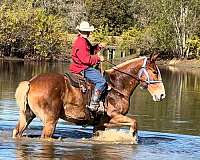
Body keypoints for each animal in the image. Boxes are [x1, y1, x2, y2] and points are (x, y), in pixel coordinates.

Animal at [12, 52, 166, 140]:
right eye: (154, 72)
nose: (162, 94)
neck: (117, 86)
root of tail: (31, 82)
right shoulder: (114, 116)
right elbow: (134, 122)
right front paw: (133, 136)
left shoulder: (101, 124)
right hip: (50, 121)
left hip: (27, 116)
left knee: (17, 131)